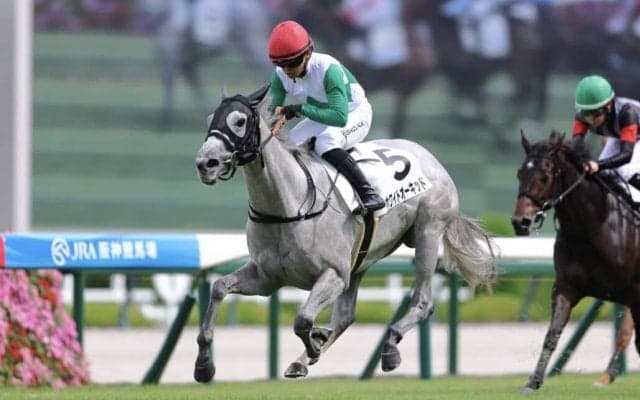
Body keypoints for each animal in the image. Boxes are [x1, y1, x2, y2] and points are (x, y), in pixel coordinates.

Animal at [192, 84, 497, 381]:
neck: (288, 205)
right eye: (209, 120)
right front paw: (204, 364)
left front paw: (314, 344)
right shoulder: (267, 277)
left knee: (422, 302)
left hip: (428, 233)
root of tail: (428, 156)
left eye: (239, 121)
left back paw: (389, 347)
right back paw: (306, 357)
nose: (205, 164)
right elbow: (219, 288)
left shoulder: (333, 274)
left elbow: (302, 320)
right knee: (345, 316)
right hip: (362, 259)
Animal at [511, 130, 640, 394]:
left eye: (545, 176)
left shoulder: (635, 290)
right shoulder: (566, 286)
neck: (594, 228)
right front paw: (533, 382)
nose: (521, 222)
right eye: (520, 173)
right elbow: (552, 333)